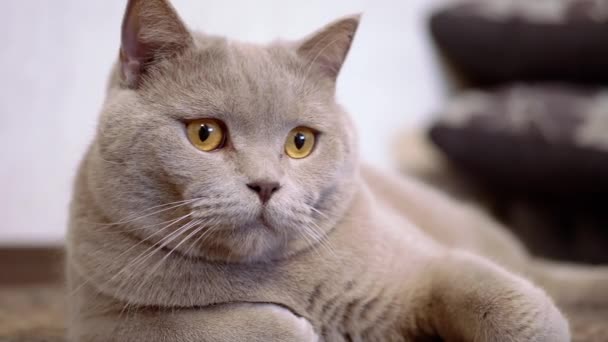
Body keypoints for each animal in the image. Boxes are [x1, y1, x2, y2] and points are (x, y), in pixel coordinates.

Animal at [66, 0, 608, 342]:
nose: (266, 185)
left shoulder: (432, 264)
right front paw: (292, 328)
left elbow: (506, 302)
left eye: (300, 142)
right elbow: (180, 325)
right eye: (205, 134)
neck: (269, 276)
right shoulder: (98, 316)